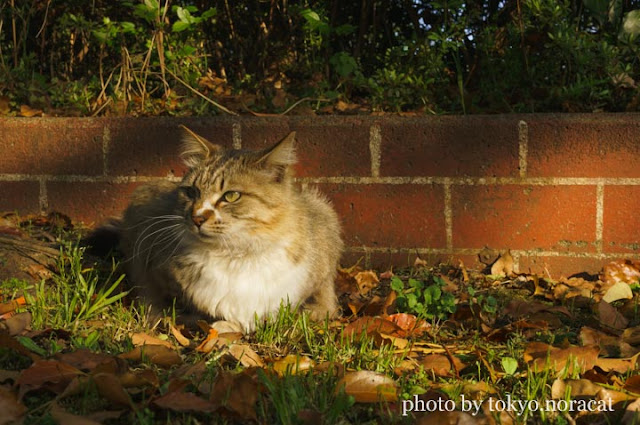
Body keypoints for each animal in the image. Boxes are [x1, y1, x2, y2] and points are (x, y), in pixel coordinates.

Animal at [115, 126, 344, 332]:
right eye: (191, 192)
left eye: (231, 196)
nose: (196, 217)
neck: (236, 253)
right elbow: (159, 303)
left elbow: (322, 304)